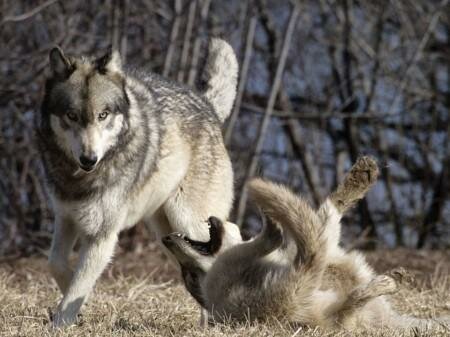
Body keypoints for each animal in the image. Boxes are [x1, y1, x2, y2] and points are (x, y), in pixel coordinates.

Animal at [38, 38, 243, 326]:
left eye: (103, 115)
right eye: (72, 116)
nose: (89, 159)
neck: (79, 178)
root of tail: (206, 103)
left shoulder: (103, 234)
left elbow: (77, 286)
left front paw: (62, 323)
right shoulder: (65, 217)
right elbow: (56, 264)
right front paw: (83, 306)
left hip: (188, 220)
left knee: (231, 234)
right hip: (167, 236)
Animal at [163, 156, 444, 330]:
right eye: (189, 275)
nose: (166, 239)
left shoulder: (327, 242)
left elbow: (333, 207)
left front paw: (360, 177)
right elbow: (325, 215)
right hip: (248, 273)